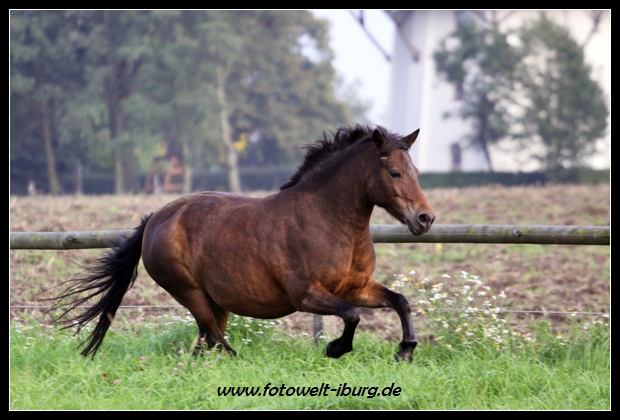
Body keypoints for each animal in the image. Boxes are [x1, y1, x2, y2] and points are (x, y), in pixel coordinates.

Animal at [53, 124, 434, 360]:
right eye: (394, 173)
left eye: (417, 172)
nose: (424, 219)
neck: (329, 220)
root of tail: (157, 218)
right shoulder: (306, 295)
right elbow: (352, 316)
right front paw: (334, 348)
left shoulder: (357, 287)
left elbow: (400, 301)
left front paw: (406, 350)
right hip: (189, 291)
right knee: (214, 340)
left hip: (215, 300)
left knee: (205, 343)